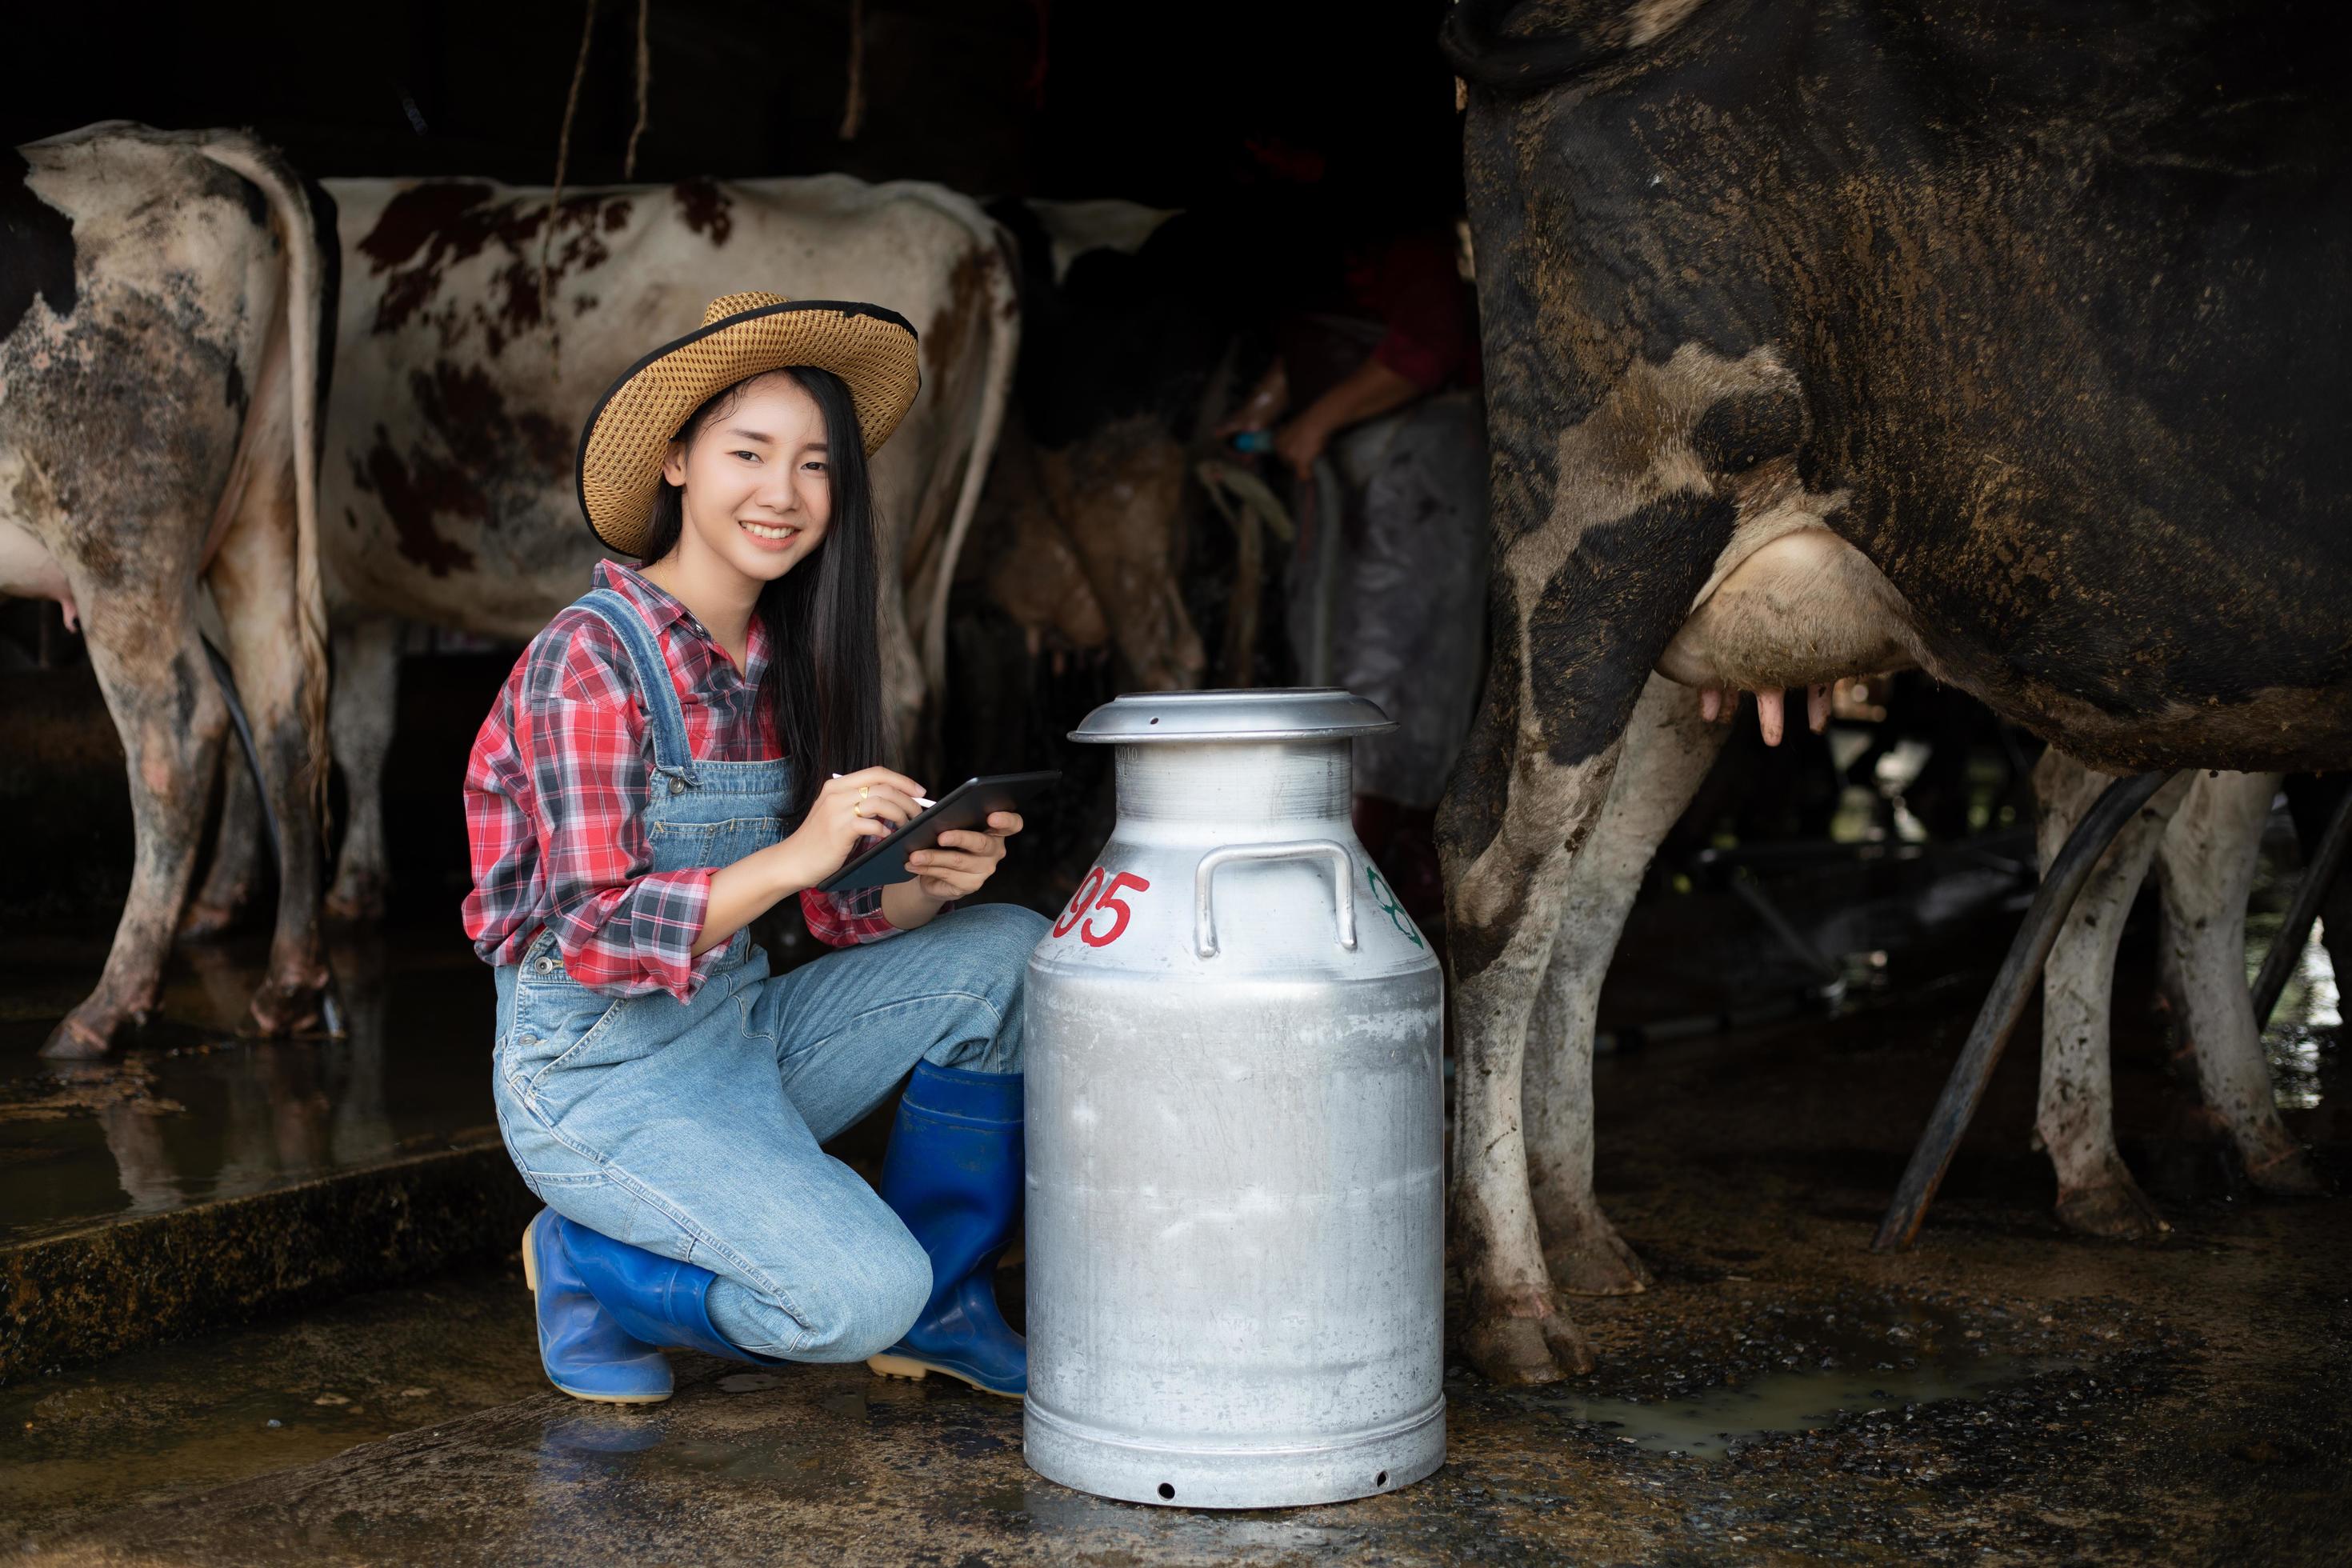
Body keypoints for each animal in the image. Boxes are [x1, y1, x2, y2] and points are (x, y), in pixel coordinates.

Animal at [0, 119, 341, 1053]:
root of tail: (195, 144)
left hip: (120, 536)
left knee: (178, 729)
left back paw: (105, 1010)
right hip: (263, 504)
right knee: (282, 705)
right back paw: (290, 987)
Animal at [1439, 0, 2342, 1382]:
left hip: (1697, 624)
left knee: (1596, 891)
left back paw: (1587, 1235)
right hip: (1603, 535)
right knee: (1499, 877)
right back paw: (1518, 1307)